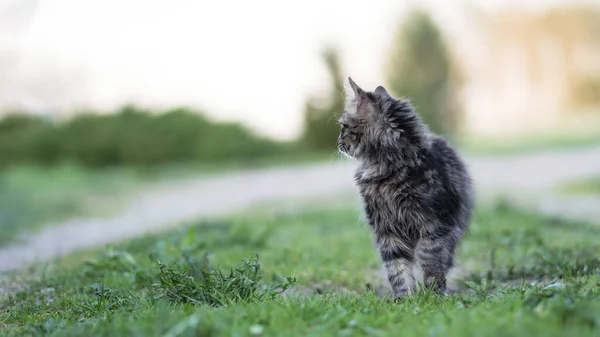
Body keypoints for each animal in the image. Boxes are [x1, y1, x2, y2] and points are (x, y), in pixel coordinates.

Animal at [338, 77, 474, 300]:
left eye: (343, 126)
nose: (337, 141)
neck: (389, 170)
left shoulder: (434, 226)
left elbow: (431, 262)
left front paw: (432, 296)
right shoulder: (387, 230)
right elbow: (397, 268)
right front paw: (405, 298)